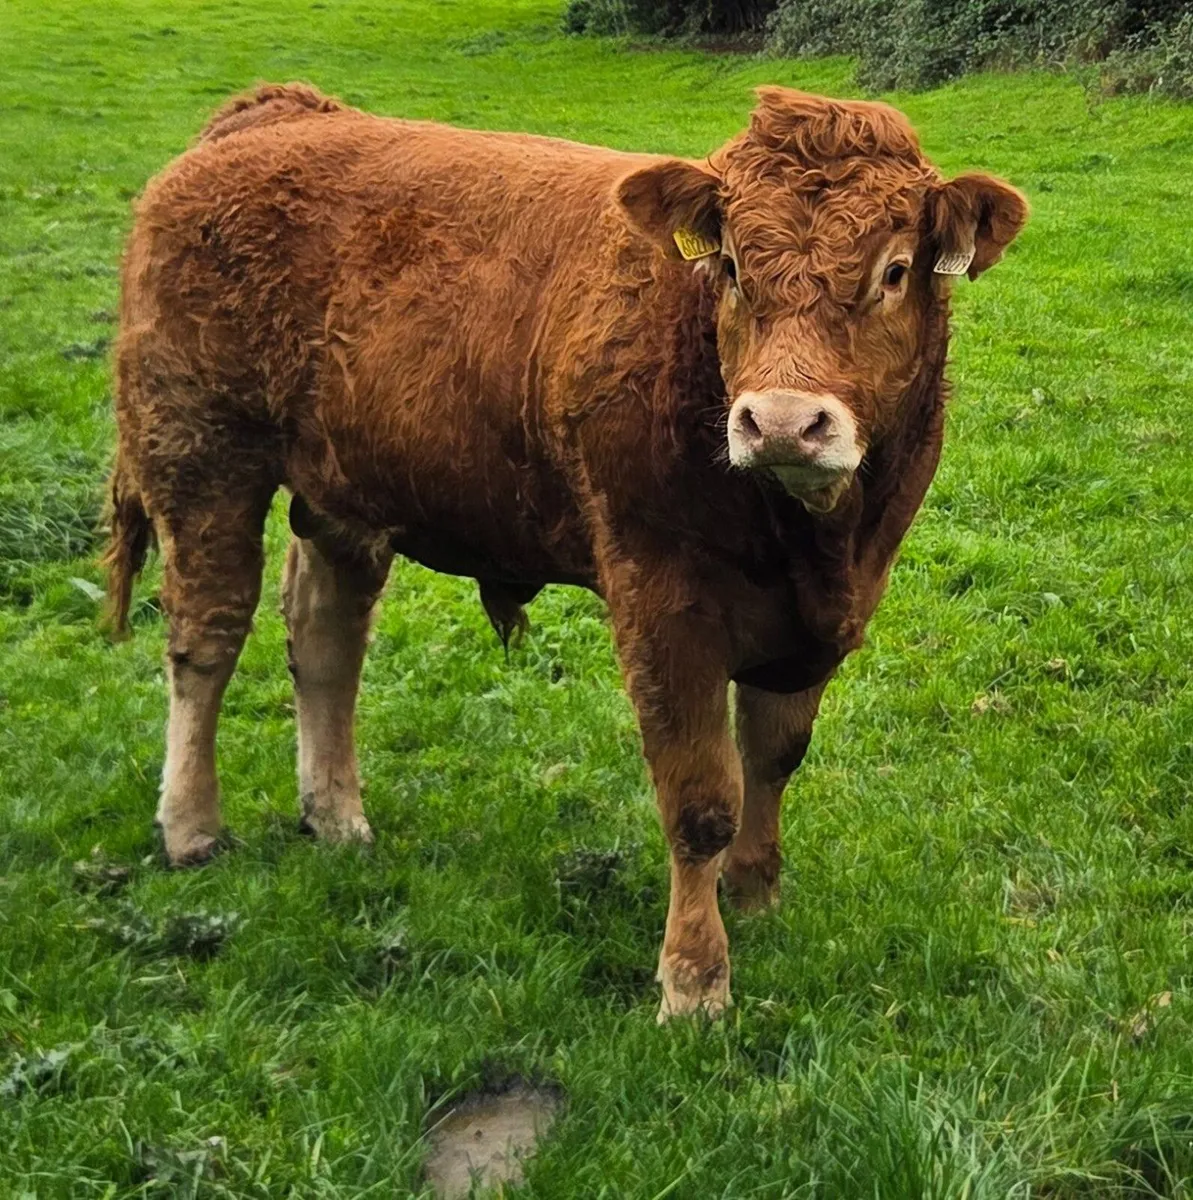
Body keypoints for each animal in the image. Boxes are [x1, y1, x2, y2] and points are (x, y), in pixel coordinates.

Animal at [105, 82, 1027, 1021]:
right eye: (731, 266)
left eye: (894, 270)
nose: (778, 422)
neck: (812, 542)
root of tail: (276, 114)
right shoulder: (660, 601)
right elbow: (700, 799)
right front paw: (694, 979)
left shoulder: (826, 614)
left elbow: (772, 758)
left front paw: (756, 894)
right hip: (199, 448)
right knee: (207, 638)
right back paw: (191, 827)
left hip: (341, 486)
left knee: (326, 642)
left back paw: (336, 818)